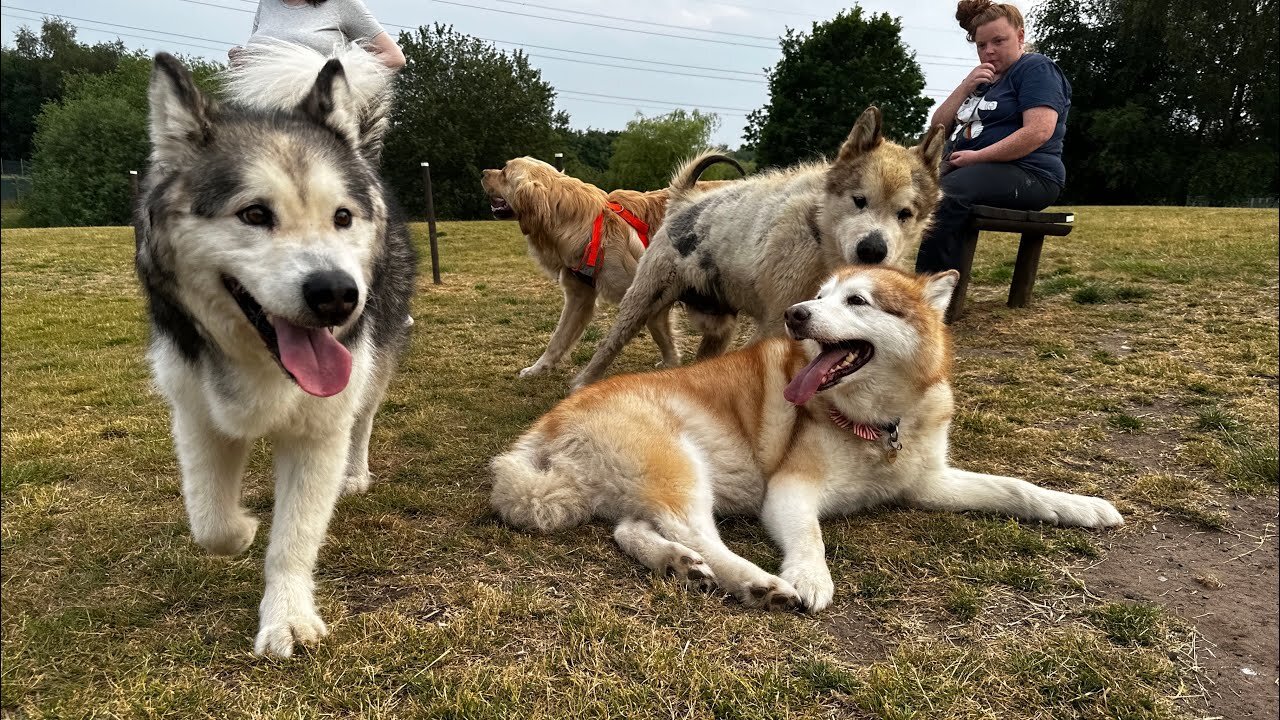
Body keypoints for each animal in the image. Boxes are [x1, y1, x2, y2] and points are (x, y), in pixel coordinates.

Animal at [576, 105, 947, 386]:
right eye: (859, 200)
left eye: (904, 214)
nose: (872, 250)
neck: (819, 235)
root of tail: (683, 201)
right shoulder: (777, 324)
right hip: (641, 301)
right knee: (607, 346)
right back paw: (583, 382)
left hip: (718, 327)